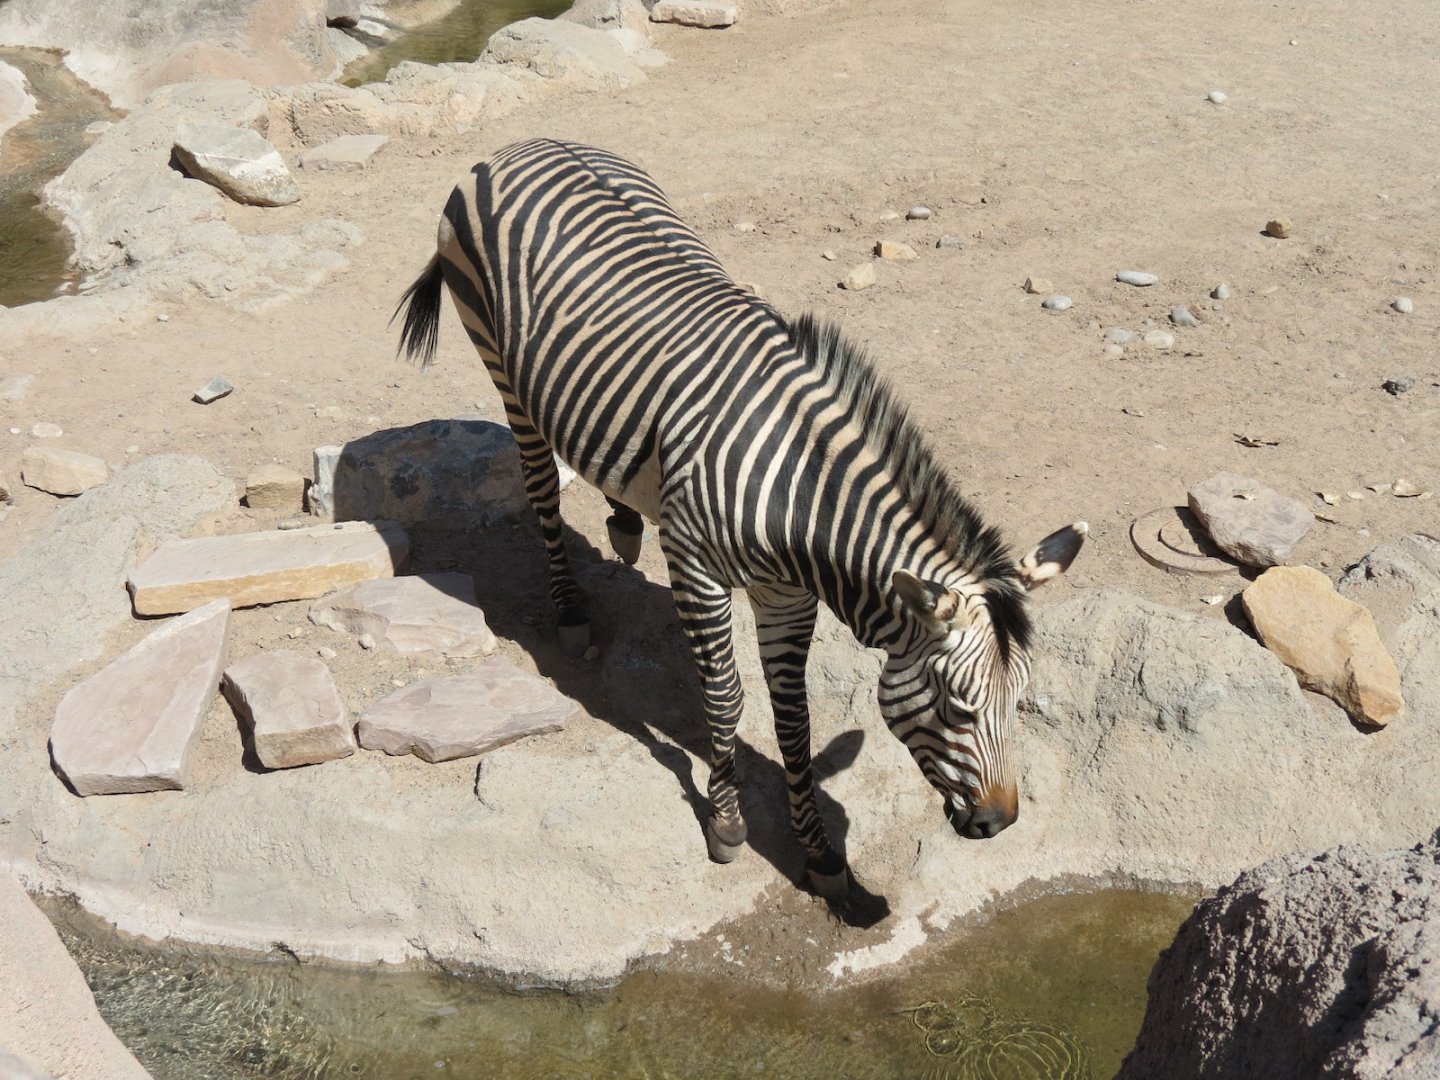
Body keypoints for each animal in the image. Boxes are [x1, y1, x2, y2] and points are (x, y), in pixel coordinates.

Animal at [395, 138, 1086, 901]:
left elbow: (795, 717)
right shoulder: (697, 571)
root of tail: (526, 144)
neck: (798, 498)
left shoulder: (787, 597)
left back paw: (624, 520)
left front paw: (818, 852)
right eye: (960, 709)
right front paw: (727, 825)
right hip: (501, 366)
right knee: (543, 485)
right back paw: (570, 608)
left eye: (1020, 701)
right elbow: (725, 700)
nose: (1000, 824)